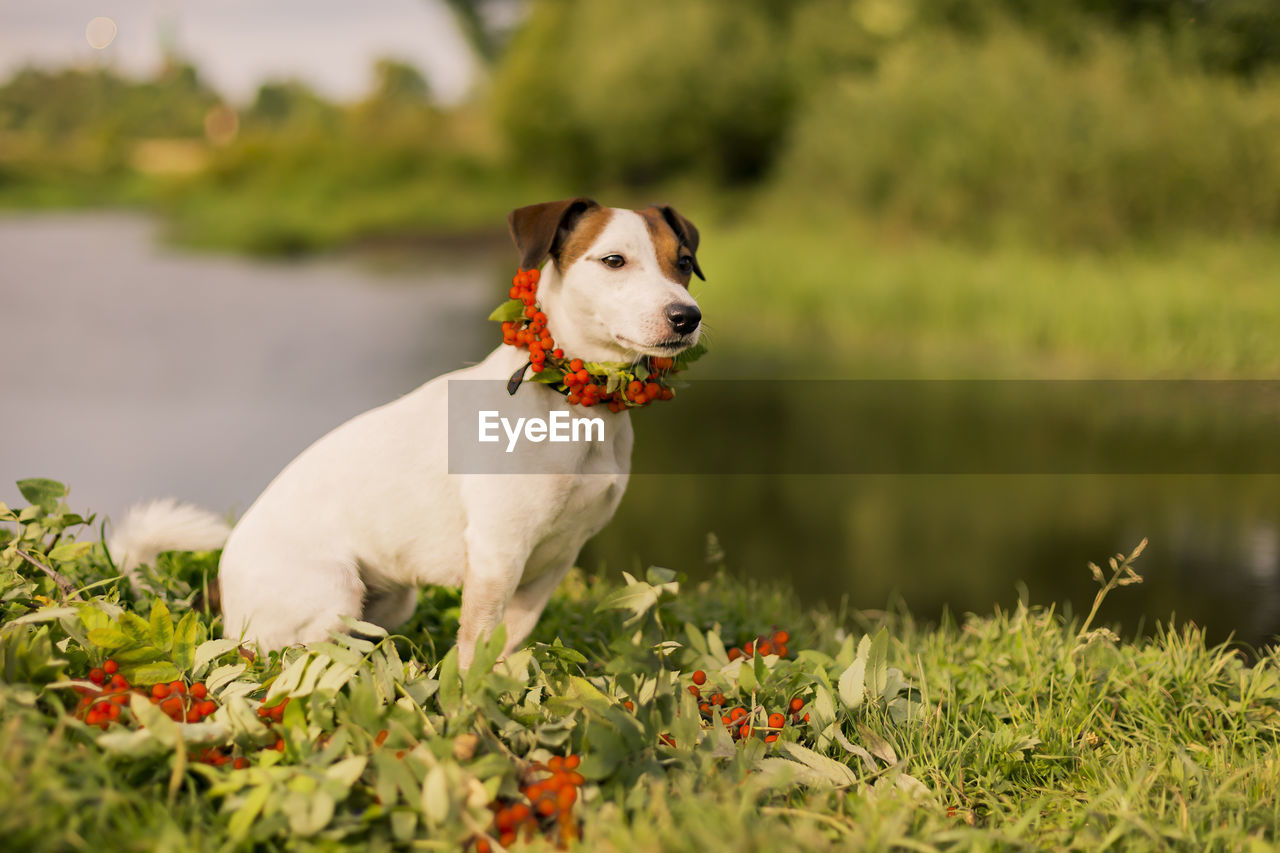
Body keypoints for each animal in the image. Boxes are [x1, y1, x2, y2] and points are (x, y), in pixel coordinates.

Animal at [111, 197, 706, 666]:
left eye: (683, 263)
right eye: (613, 261)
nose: (687, 316)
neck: (577, 407)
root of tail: (220, 592)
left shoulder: (552, 564)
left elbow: (507, 645)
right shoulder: (497, 554)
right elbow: (474, 647)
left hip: (393, 600)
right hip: (334, 590)